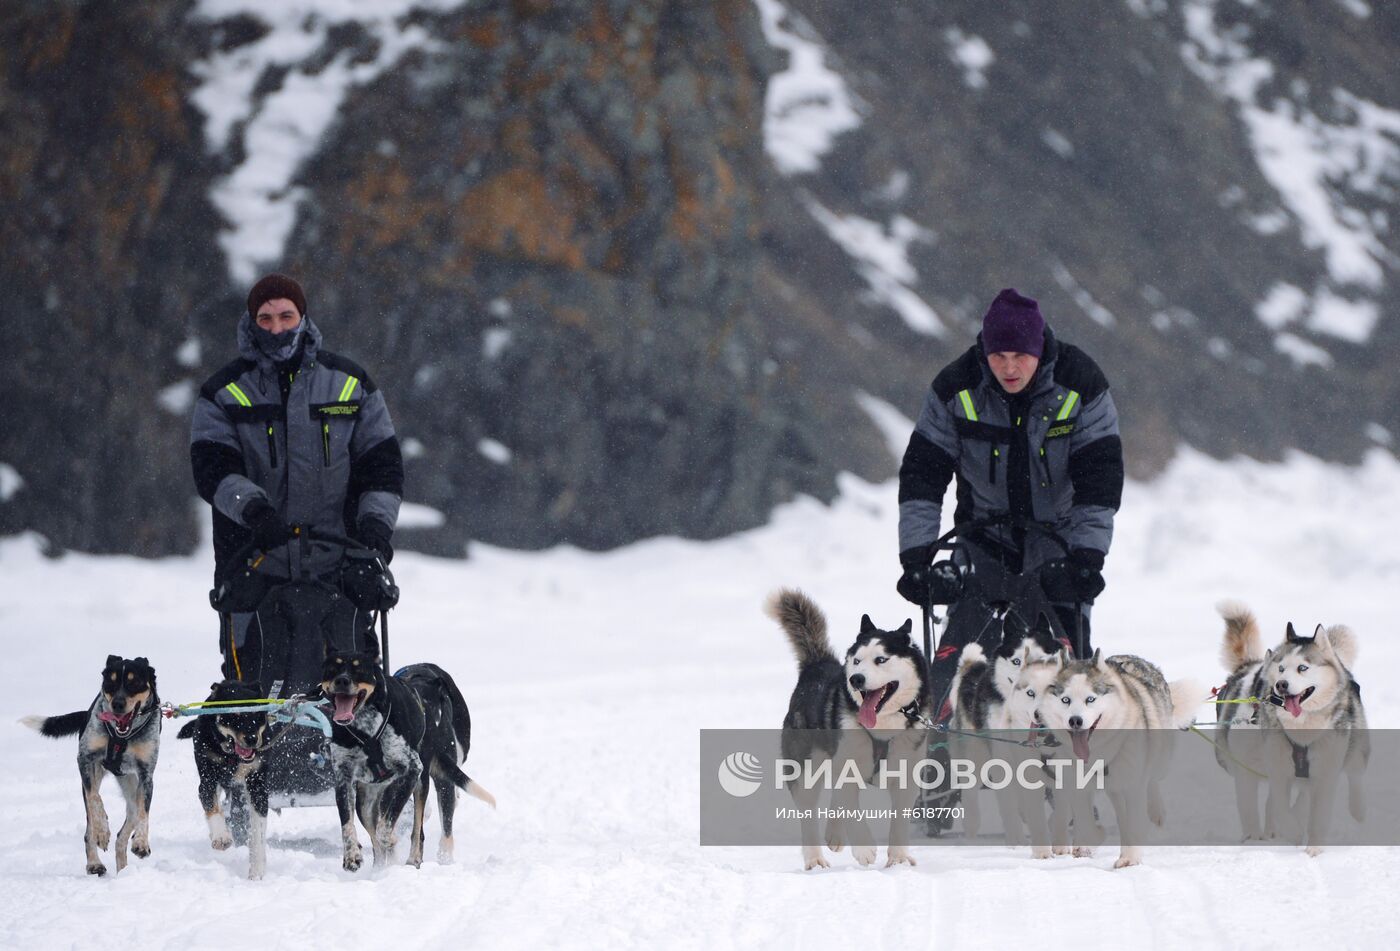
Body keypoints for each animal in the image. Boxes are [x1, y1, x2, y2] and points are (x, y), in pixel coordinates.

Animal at [21, 655, 161, 879]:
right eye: (110, 682)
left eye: (134, 682)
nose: (117, 704)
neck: (122, 737)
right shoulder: (85, 760)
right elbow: (95, 799)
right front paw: (103, 831)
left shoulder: (146, 775)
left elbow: (143, 813)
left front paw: (141, 842)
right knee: (89, 828)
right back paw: (95, 863)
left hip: (131, 788)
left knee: (126, 825)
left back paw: (123, 869)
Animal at [175, 680, 273, 879]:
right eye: (234, 716)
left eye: (256, 713)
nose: (252, 739)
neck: (232, 757)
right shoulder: (208, 781)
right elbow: (212, 807)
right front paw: (221, 836)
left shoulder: (258, 787)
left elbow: (257, 833)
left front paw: (257, 868)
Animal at [767, 591, 929, 873]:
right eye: (857, 661)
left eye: (881, 659)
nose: (856, 679)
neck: (882, 730)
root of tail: (817, 665)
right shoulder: (848, 767)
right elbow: (851, 809)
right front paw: (864, 849)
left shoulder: (906, 776)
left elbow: (899, 821)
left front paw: (898, 859)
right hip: (806, 768)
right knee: (809, 813)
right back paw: (815, 860)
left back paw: (834, 834)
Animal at [1036, 649, 1198, 868]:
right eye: (1065, 700)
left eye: (1090, 699)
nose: (1075, 721)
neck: (1098, 753)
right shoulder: (1078, 786)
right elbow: (1086, 821)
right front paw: (1087, 844)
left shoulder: (1132, 785)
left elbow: (1134, 820)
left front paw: (1130, 858)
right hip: (1113, 789)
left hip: (1158, 759)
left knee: (1152, 780)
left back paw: (1156, 811)